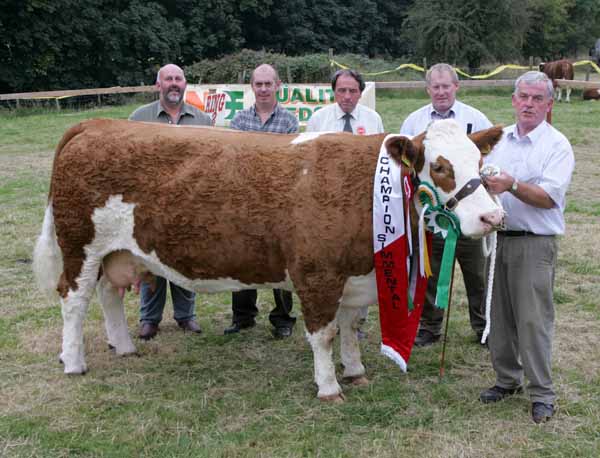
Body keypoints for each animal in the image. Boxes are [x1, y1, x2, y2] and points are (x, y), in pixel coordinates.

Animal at [31, 119, 502, 400]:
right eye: (439, 167)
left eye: (480, 160)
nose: (492, 217)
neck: (368, 188)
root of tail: (99, 124)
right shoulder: (317, 272)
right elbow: (324, 334)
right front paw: (329, 387)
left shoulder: (356, 274)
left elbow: (350, 327)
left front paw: (355, 371)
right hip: (80, 247)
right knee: (73, 299)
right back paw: (74, 362)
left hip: (116, 252)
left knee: (109, 294)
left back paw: (125, 347)